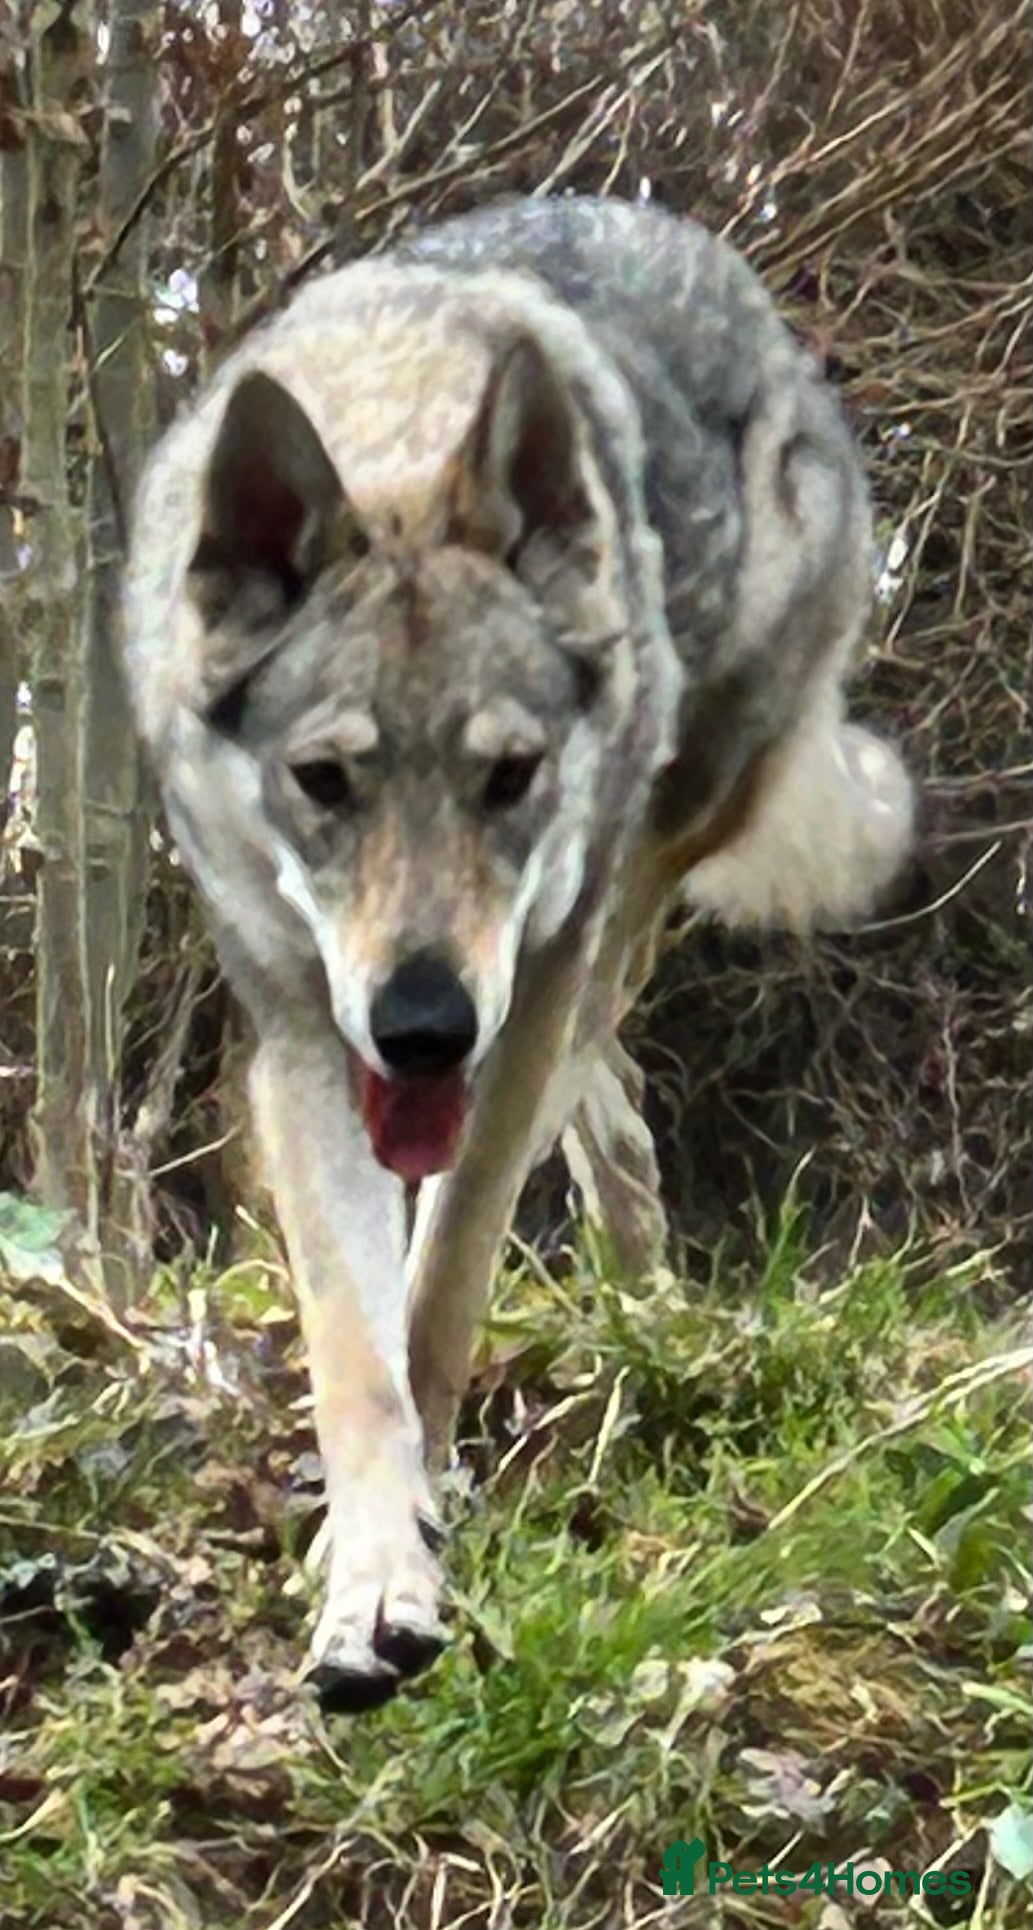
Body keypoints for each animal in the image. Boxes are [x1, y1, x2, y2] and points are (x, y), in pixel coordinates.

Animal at [123, 195, 913, 1711]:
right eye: (324, 780)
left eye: (509, 775)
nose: (424, 1025)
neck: (395, 416)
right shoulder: (302, 1038)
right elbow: (353, 1349)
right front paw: (368, 1580)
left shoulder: (517, 987)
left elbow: (439, 1291)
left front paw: (412, 1540)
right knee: (615, 1106)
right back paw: (638, 1285)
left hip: (642, 860)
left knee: (587, 1055)